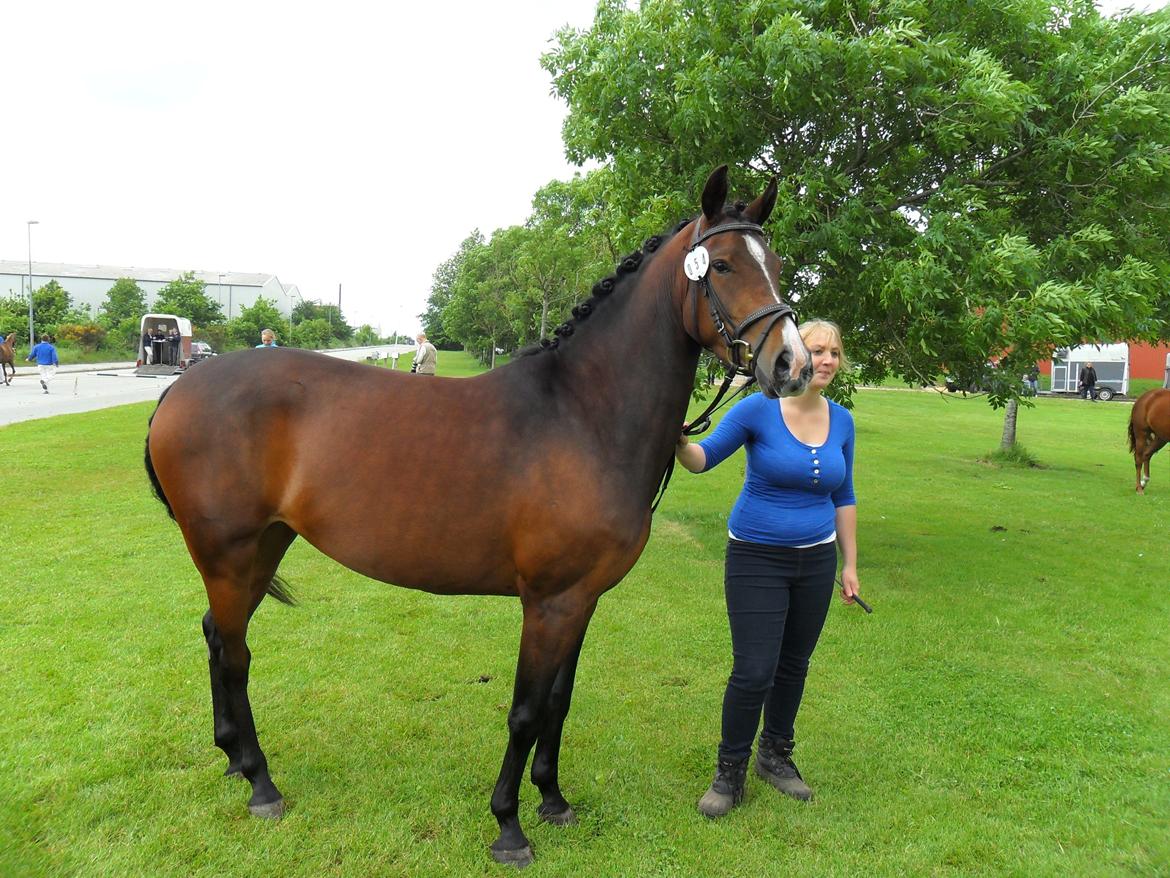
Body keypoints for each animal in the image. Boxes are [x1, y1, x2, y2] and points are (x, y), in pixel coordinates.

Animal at [141, 168, 809, 870]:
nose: (793, 364)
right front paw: (509, 826)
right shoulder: (547, 602)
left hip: (263, 548)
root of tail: (180, 387)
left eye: (777, 265)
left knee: (218, 637)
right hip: (228, 554)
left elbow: (558, 702)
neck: (583, 414)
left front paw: (554, 801)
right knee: (235, 654)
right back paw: (262, 784)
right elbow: (525, 711)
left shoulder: (582, 599)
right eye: (725, 264)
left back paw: (234, 758)